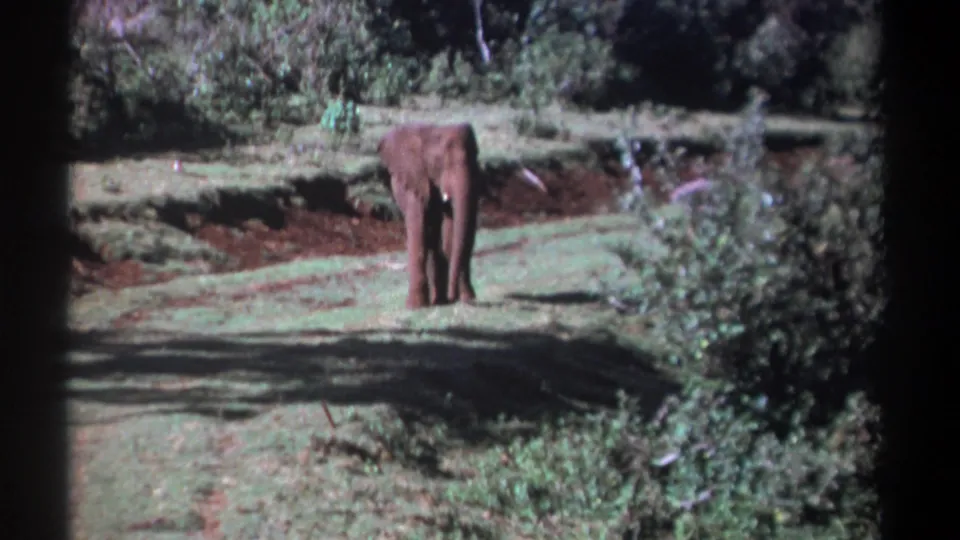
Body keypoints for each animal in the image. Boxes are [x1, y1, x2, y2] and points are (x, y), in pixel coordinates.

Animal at [377, 122, 546, 309]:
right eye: (438, 161)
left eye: (476, 156)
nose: (454, 297)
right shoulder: (415, 179)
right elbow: (419, 226)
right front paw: (416, 307)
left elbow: (455, 229)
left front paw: (464, 298)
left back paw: (440, 300)